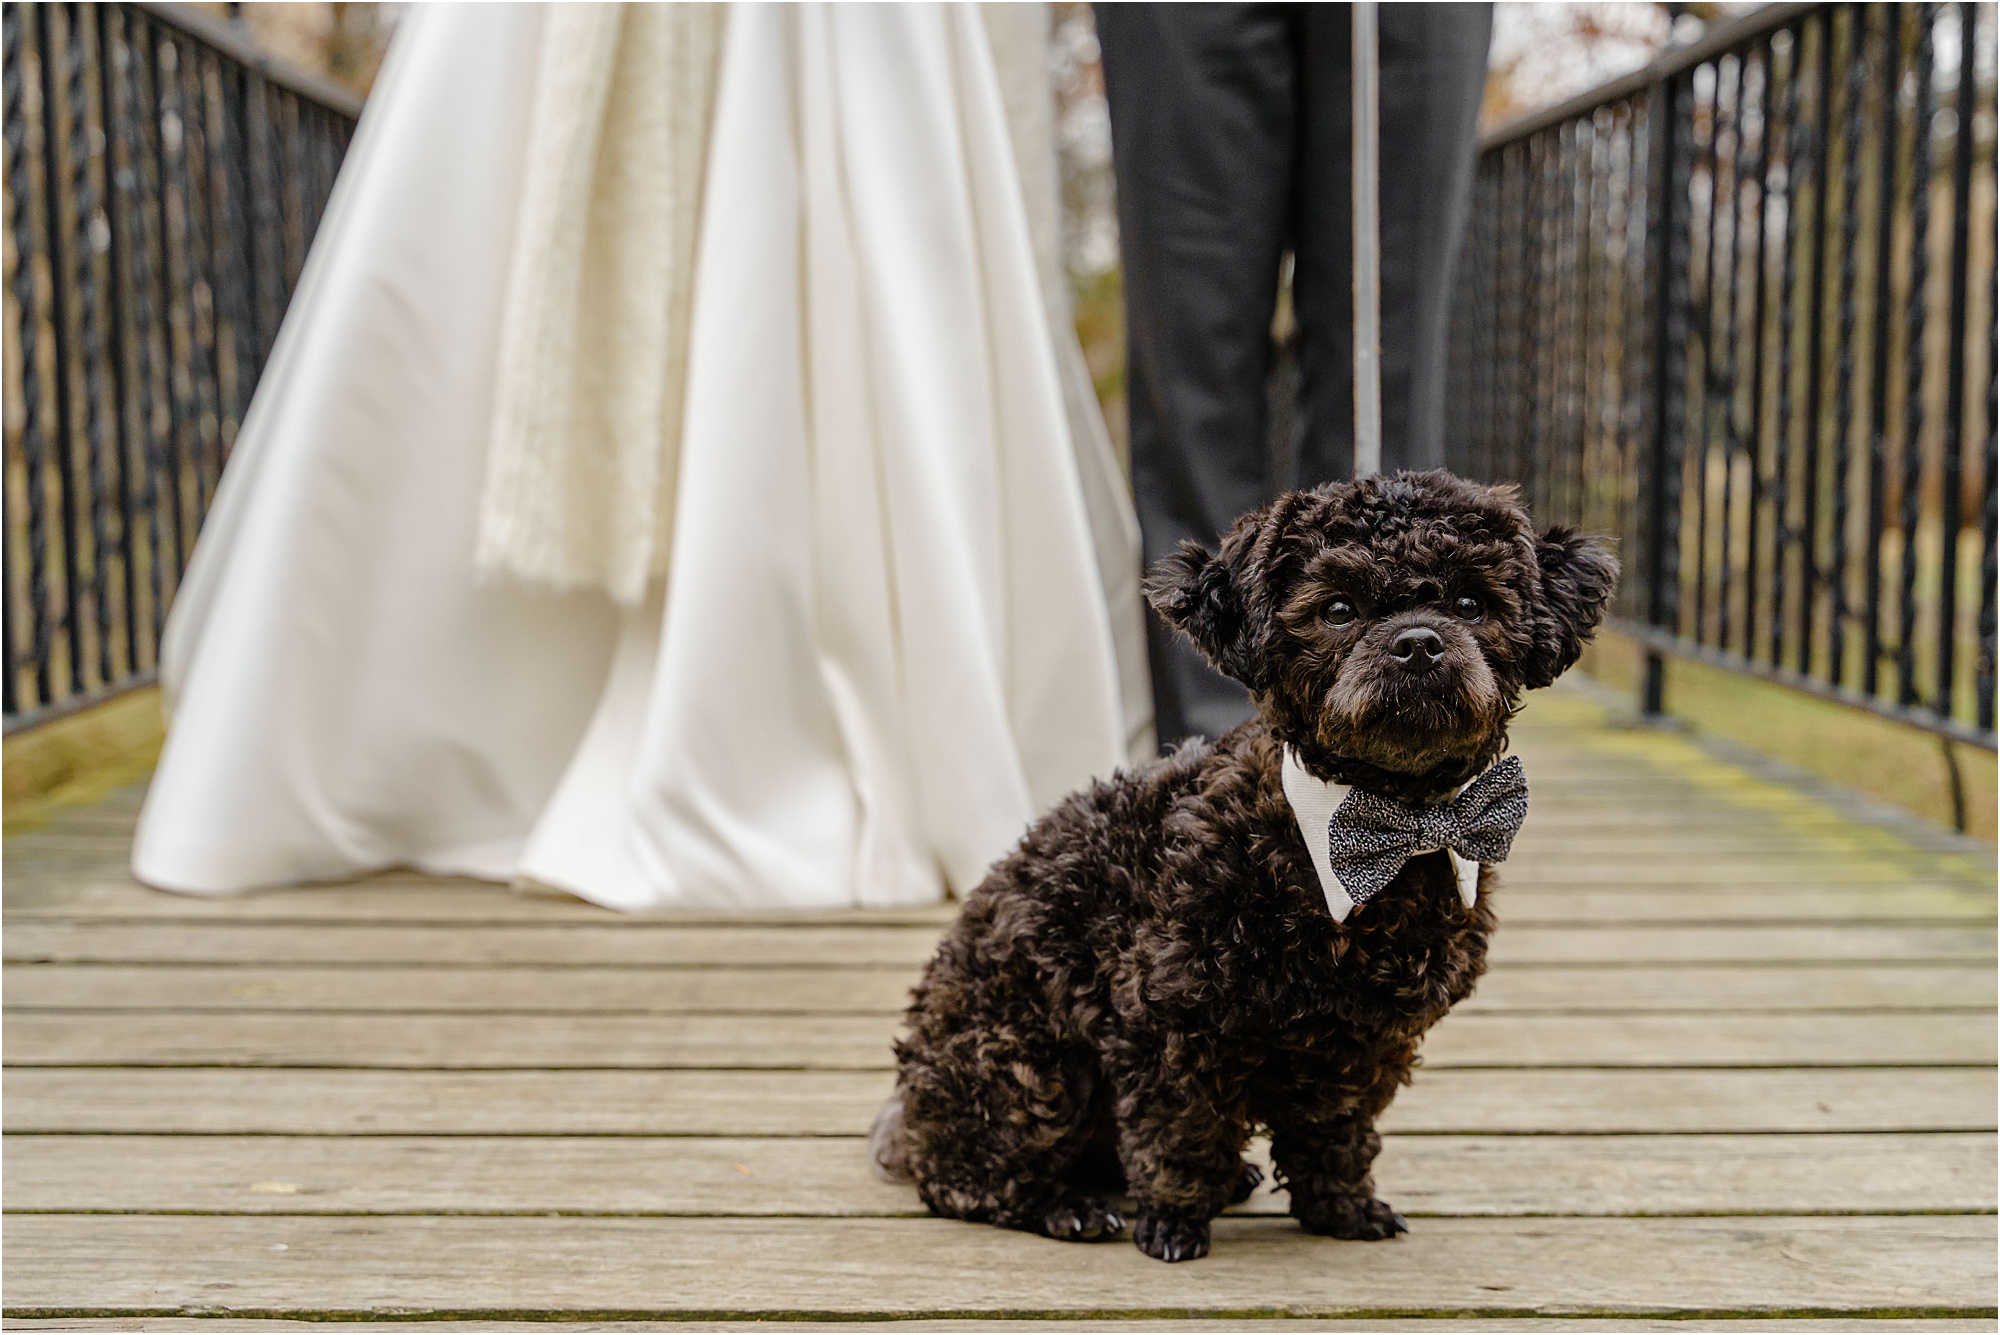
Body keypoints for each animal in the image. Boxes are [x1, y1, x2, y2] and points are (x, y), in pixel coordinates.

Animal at [868, 471, 1616, 1263]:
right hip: (1027, 1066)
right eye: (1338, 609)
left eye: (1472, 603)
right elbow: (1179, 1130)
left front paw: (1343, 1208)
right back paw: (1065, 1206)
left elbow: (1336, 1134)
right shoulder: (1170, 1019)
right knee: (968, 1175)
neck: (1382, 827)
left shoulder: (1363, 1041)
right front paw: (1173, 1223)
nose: (1418, 642)